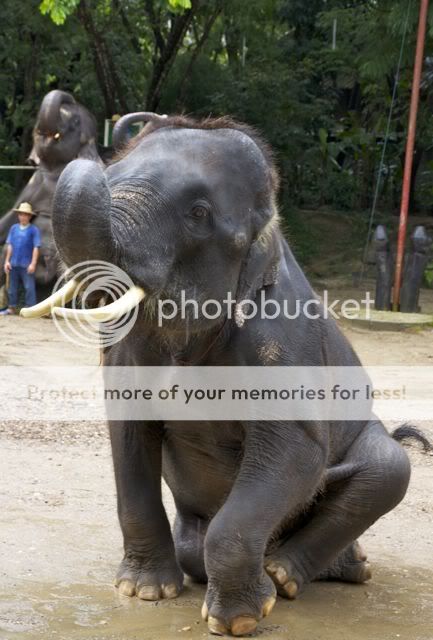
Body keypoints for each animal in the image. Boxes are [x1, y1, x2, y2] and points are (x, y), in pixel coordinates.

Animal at [23, 113, 424, 636]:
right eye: (112, 178)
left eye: (198, 213)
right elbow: (128, 436)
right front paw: (144, 591)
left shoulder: (282, 337)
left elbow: (295, 449)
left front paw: (239, 620)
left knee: (391, 466)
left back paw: (287, 575)